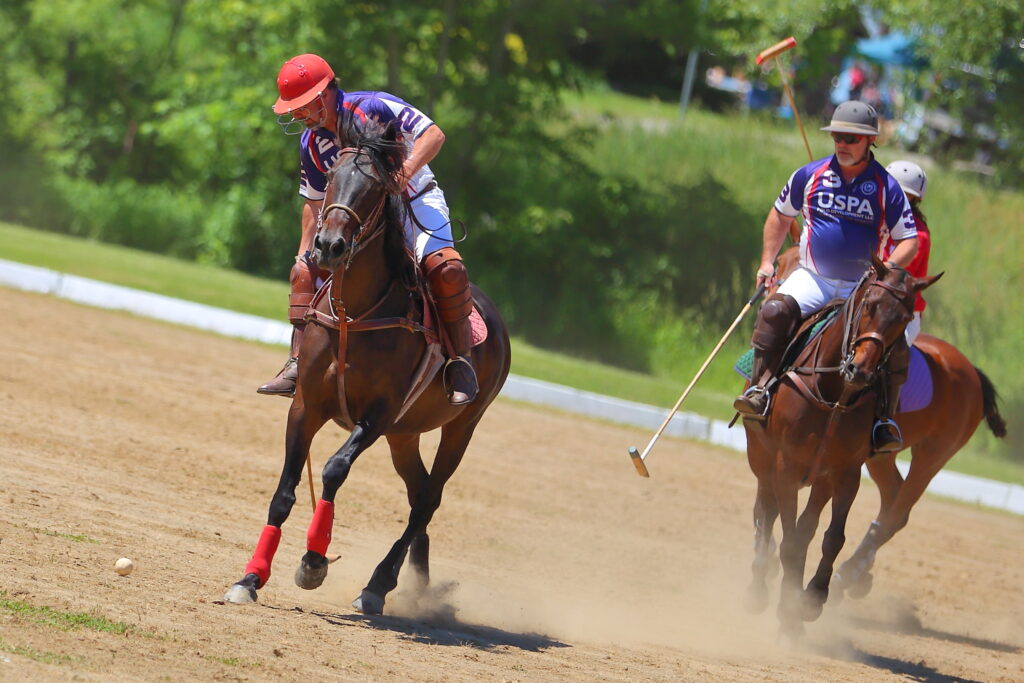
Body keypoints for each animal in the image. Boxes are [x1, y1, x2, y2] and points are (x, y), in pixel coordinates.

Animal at [225, 121, 512, 614]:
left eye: (376, 188)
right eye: (330, 177)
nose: (328, 245)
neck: (352, 315)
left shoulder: (379, 413)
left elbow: (333, 470)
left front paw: (314, 562)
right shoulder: (306, 406)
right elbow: (284, 492)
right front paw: (251, 577)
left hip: (461, 425)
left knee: (429, 498)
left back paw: (378, 584)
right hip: (406, 434)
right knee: (419, 492)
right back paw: (417, 583)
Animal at [737, 255, 942, 634]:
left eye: (904, 319)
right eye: (870, 304)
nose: (860, 370)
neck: (833, 392)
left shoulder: (847, 471)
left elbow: (831, 536)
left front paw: (811, 597)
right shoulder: (786, 466)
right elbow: (787, 538)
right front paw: (788, 615)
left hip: (821, 476)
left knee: (805, 525)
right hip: (762, 457)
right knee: (765, 514)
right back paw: (758, 588)